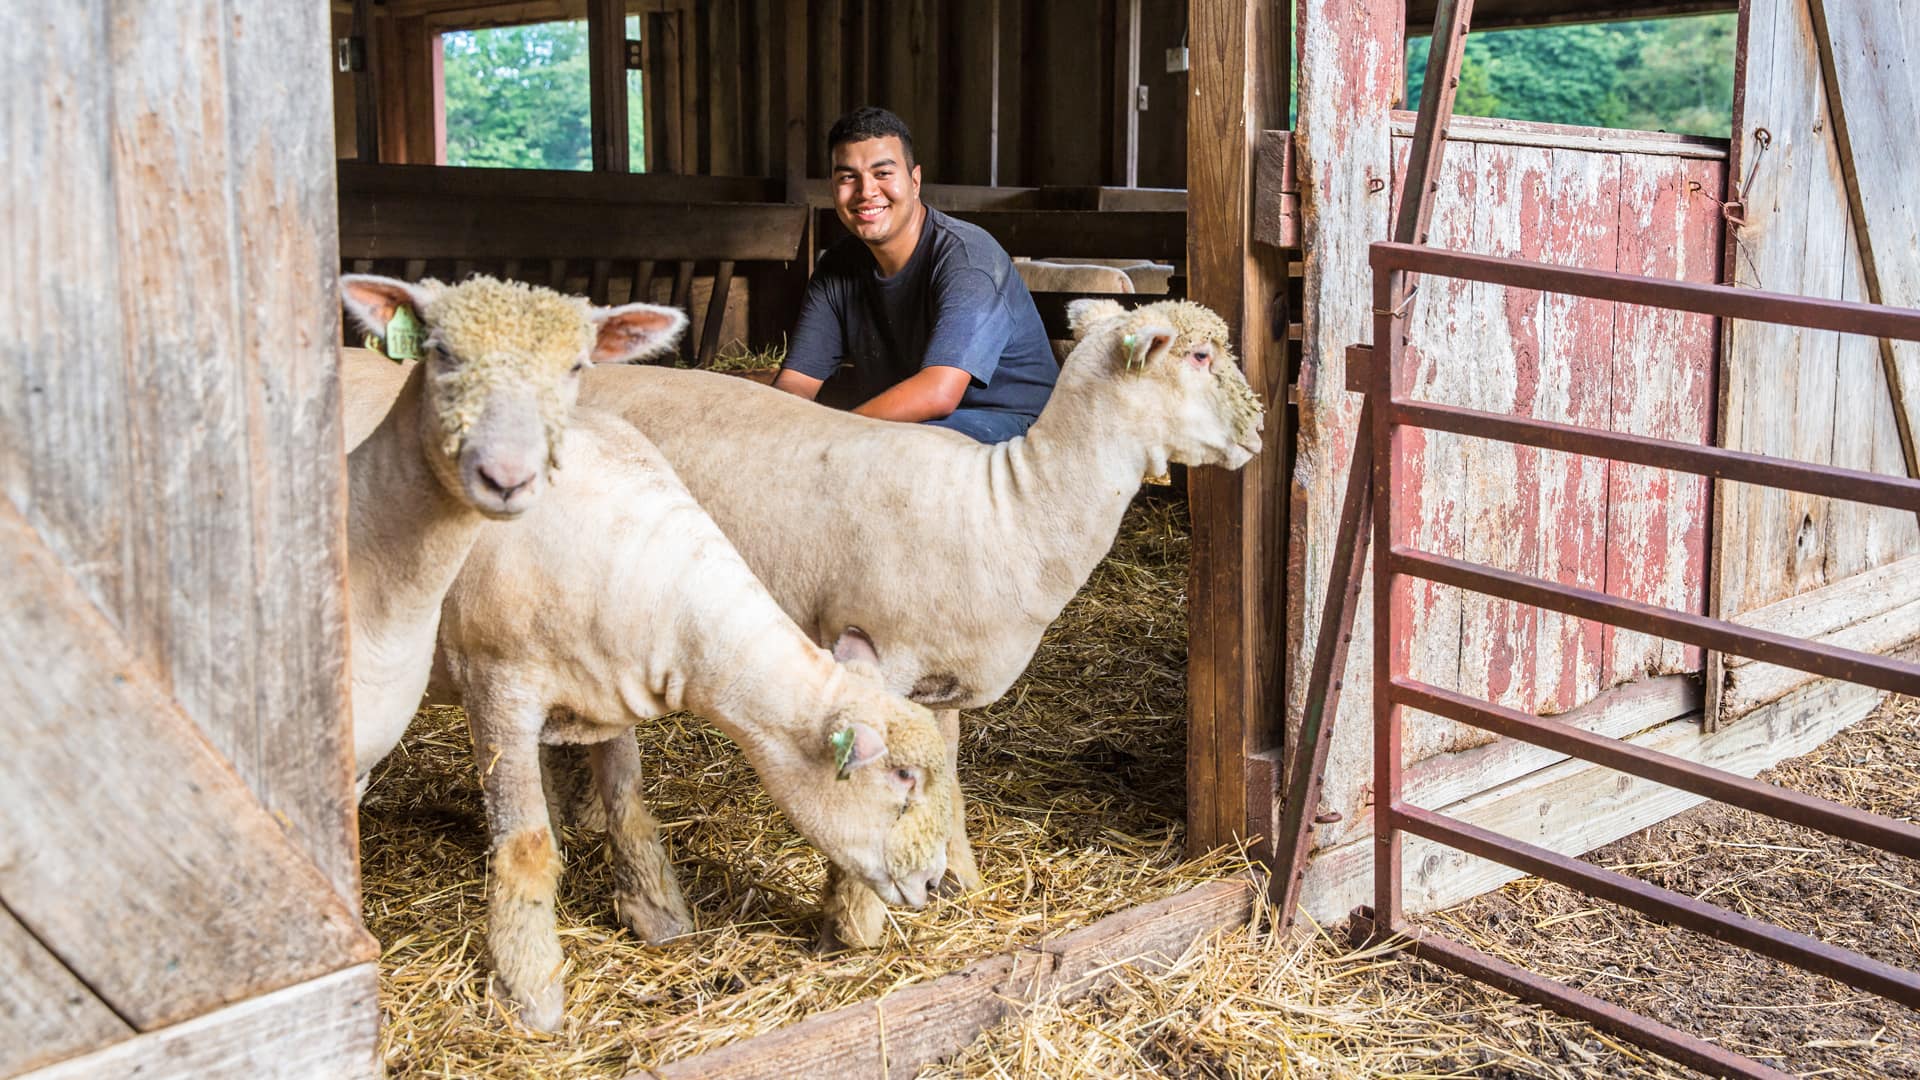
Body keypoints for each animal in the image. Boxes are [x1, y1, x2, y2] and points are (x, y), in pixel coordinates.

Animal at [576, 294, 1267, 941]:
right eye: (1199, 356)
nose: (1259, 430)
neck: (1012, 509)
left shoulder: (942, 681)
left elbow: (950, 777)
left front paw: (961, 878)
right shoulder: (878, 653)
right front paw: (853, 922)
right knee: (615, 751)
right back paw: (648, 898)